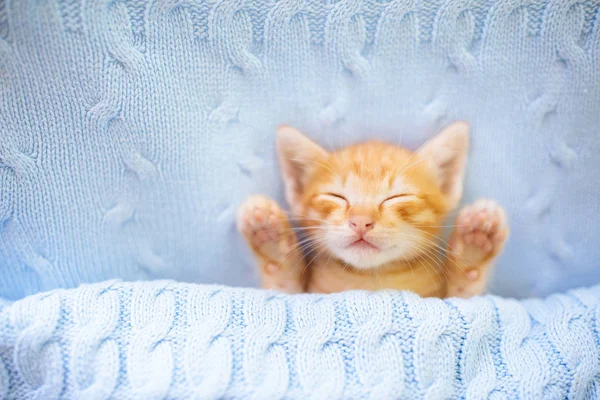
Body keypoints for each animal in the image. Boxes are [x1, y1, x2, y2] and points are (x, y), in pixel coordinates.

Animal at [234, 123, 506, 298]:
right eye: (336, 196)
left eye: (397, 197)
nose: (361, 221)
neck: (370, 279)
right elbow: (283, 292)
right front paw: (271, 239)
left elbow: (464, 298)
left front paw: (474, 245)